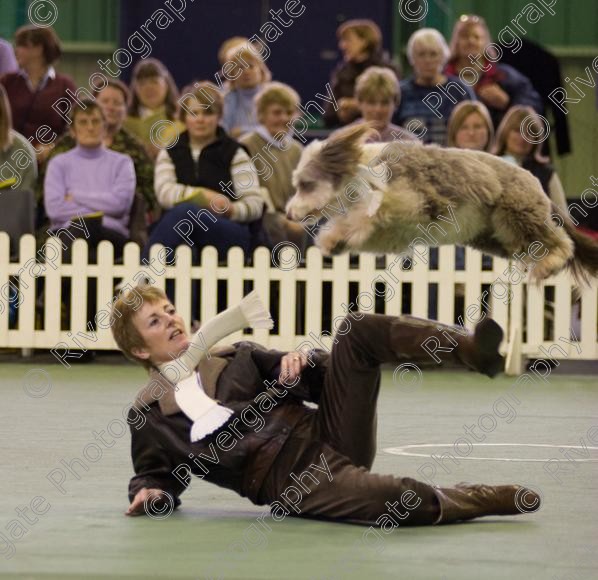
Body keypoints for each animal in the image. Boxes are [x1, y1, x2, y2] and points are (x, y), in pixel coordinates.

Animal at [288, 124, 598, 284]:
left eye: (306, 184)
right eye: (297, 184)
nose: (289, 212)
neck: (366, 171)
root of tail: (535, 182)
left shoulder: (411, 200)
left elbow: (371, 214)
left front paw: (343, 231)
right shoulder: (396, 234)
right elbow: (364, 229)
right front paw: (334, 241)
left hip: (519, 216)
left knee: (563, 243)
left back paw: (549, 267)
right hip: (498, 237)